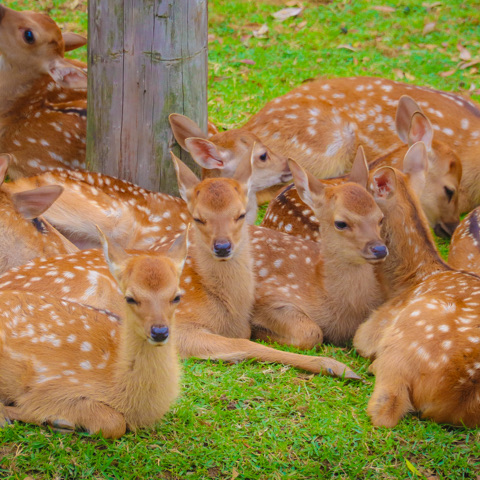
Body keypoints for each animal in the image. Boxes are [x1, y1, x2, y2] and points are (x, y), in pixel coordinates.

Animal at [0, 154, 360, 378]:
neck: (224, 304)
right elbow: (242, 345)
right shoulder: (179, 327)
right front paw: (335, 366)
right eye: (197, 217)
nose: (222, 246)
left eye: (241, 214)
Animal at [0, 231, 188, 436]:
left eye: (177, 296)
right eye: (130, 298)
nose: (159, 331)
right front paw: (57, 420)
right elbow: (114, 423)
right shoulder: (50, 386)